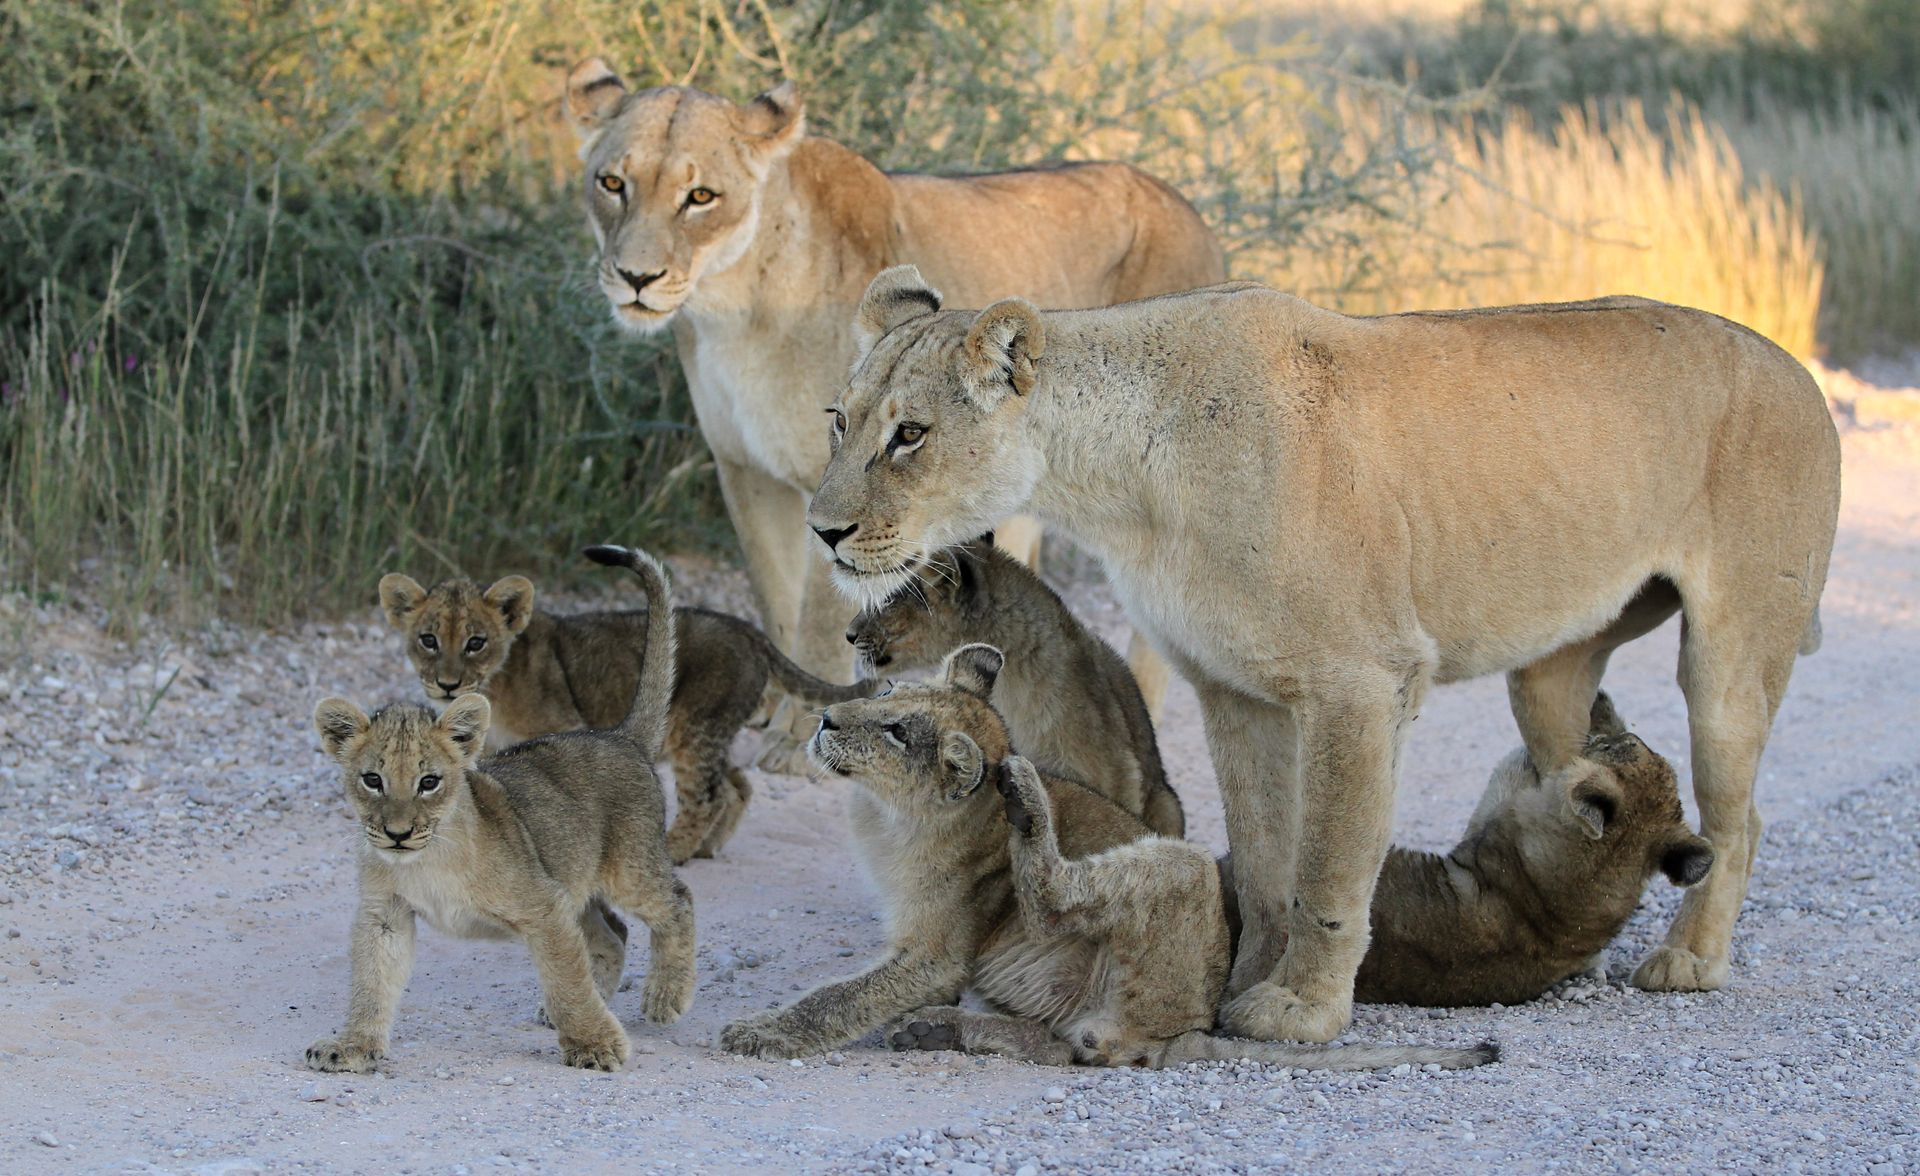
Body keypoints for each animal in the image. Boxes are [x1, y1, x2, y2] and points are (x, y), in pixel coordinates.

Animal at [306, 546, 695, 1073]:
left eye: (429, 782)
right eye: (373, 780)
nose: (398, 834)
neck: (428, 858)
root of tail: (620, 736)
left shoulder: (543, 905)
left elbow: (566, 979)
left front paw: (595, 1045)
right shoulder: (385, 913)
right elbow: (372, 981)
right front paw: (352, 1046)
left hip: (628, 870)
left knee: (677, 900)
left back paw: (665, 997)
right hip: (573, 879)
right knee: (611, 934)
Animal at [378, 569, 876, 863]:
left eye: (476, 642)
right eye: (427, 640)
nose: (447, 684)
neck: (492, 685)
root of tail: (748, 630)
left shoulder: (565, 728)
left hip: (696, 727)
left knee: (709, 795)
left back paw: (676, 851)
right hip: (706, 731)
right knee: (736, 784)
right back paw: (708, 848)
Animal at [561, 59, 1227, 764]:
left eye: (701, 197)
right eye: (612, 183)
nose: (635, 278)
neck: (731, 309)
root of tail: (1194, 212)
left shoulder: (827, 478)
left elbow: (821, 609)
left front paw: (799, 726)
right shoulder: (744, 468)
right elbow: (775, 594)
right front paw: (775, 695)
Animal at [719, 644, 1493, 1072]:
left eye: (897, 733)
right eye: (885, 690)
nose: (826, 720)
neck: (890, 816)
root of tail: (1187, 1029)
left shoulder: (936, 954)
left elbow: (839, 998)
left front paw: (760, 1032)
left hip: (1181, 867)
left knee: (1059, 911)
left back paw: (1026, 799)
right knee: (1057, 1046)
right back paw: (936, 1029)